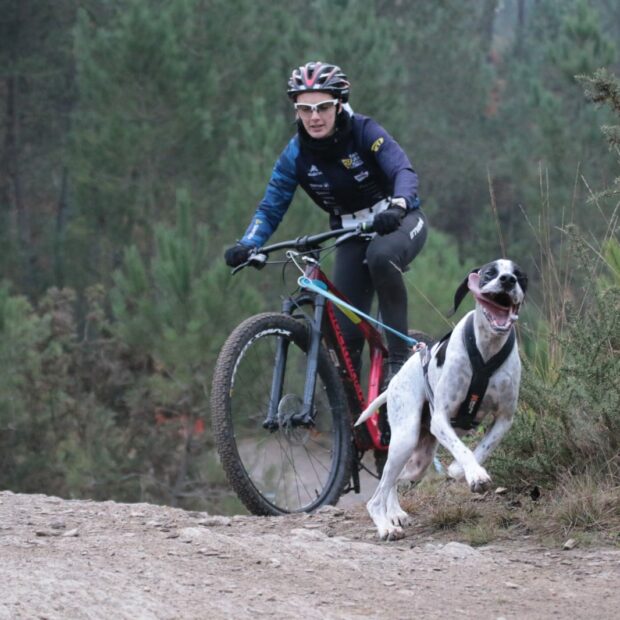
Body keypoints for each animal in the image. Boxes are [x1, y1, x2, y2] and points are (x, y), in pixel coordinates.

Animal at [356, 260, 524, 540]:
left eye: (519, 275)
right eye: (490, 273)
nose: (507, 280)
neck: (486, 351)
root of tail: (394, 382)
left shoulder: (504, 418)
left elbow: (482, 448)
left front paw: (463, 470)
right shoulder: (441, 419)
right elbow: (463, 449)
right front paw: (475, 474)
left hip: (419, 461)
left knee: (394, 481)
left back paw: (395, 512)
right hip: (405, 439)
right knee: (376, 496)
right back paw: (385, 525)